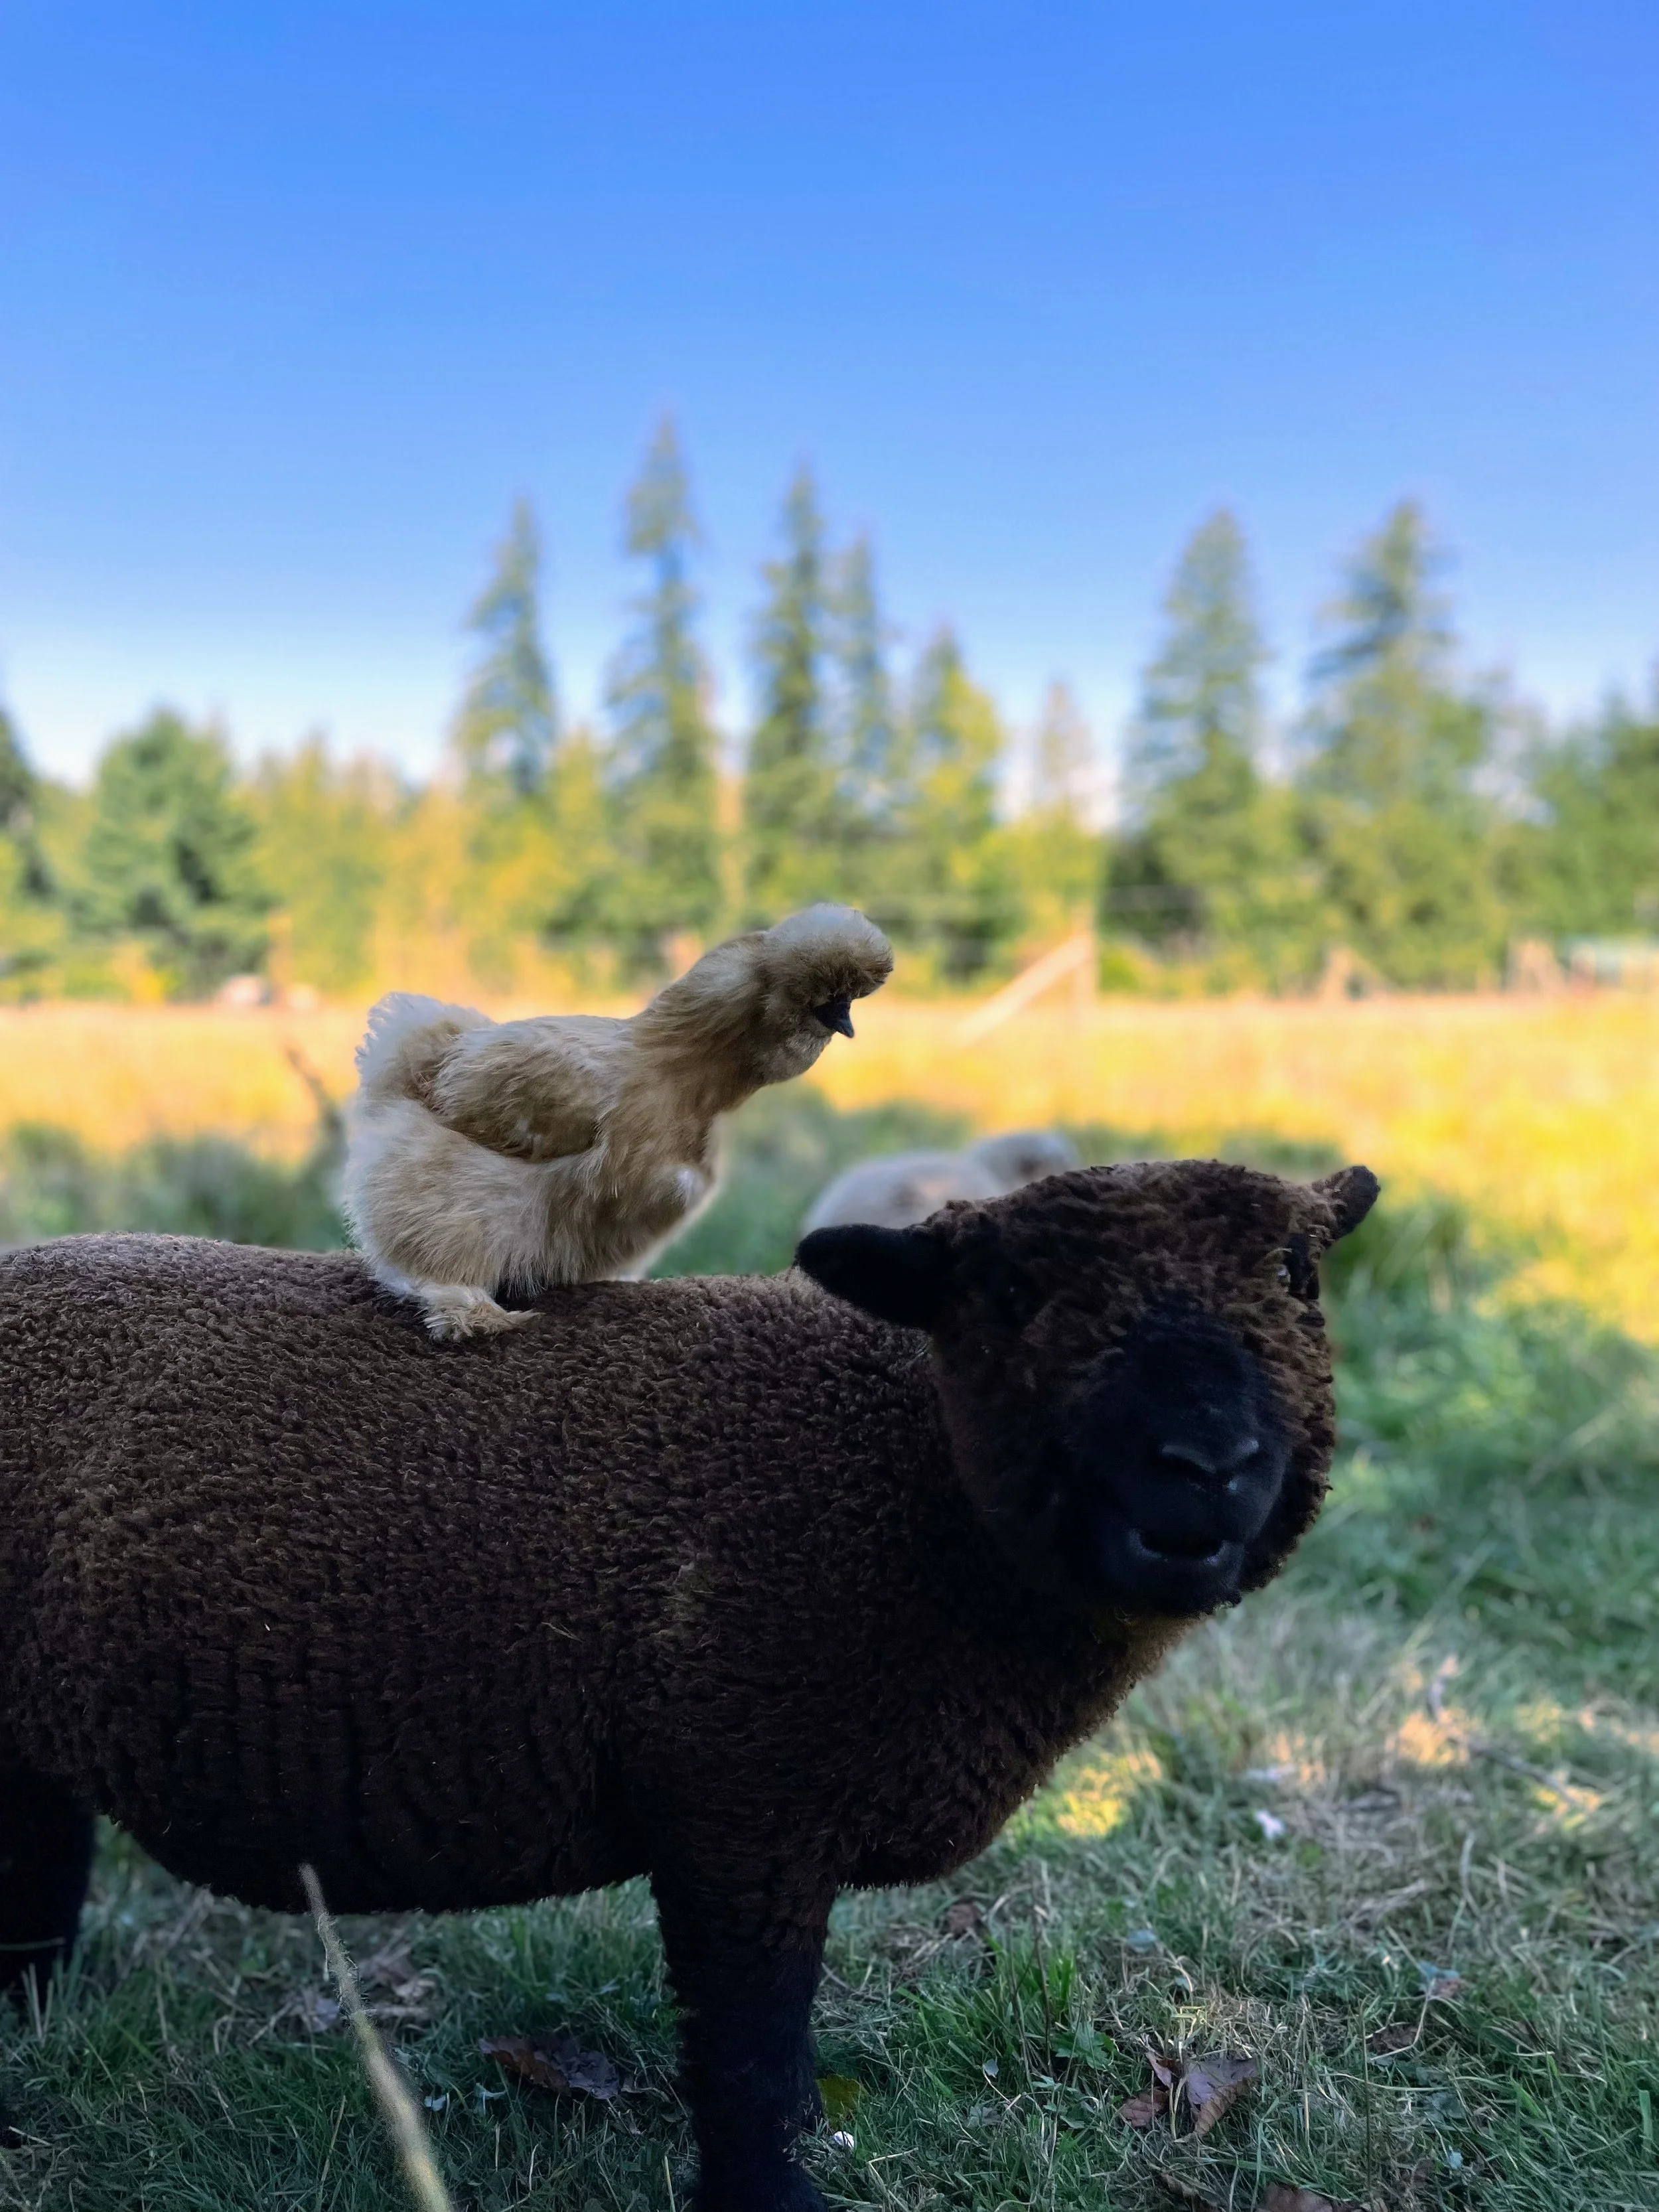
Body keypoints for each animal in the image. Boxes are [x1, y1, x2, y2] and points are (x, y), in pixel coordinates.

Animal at [0, 1156, 1378, 2211]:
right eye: (1012, 1291)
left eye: (1297, 1279)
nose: (1203, 1465)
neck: (911, 1484)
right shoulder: (742, 1808)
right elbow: (752, 2056)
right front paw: (768, 2194)